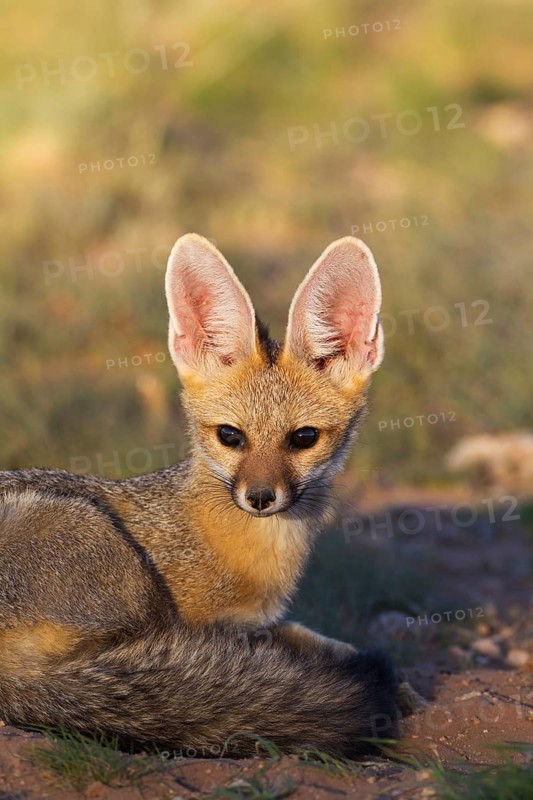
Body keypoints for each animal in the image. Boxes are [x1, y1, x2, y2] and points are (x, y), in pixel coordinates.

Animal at [0, 234, 417, 758]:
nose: (260, 497)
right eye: (229, 436)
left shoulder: (256, 621)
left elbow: (306, 635)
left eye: (303, 438)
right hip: (109, 557)